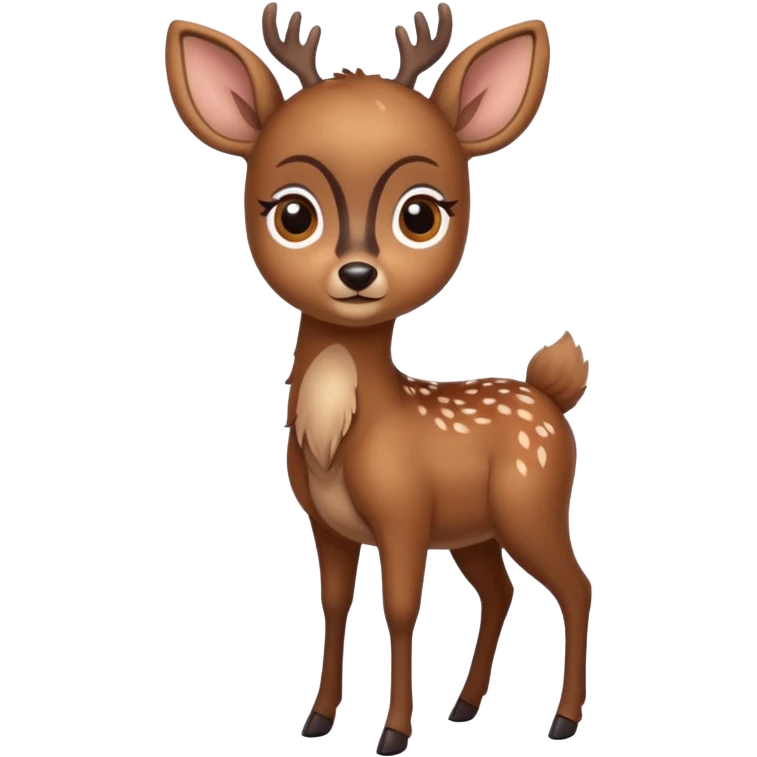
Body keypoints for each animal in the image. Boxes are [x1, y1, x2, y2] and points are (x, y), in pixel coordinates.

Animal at [164, 3, 591, 753]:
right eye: (293, 213)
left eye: (419, 214)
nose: (358, 273)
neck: (343, 437)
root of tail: (548, 394)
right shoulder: (326, 524)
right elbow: (334, 603)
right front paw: (317, 718)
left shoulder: (404, 513)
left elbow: (398, 608)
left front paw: (392, 732)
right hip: (476, 529)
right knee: (499, 590)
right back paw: (464, 706)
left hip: (531, 503)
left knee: (574, 586)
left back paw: (562, 719)